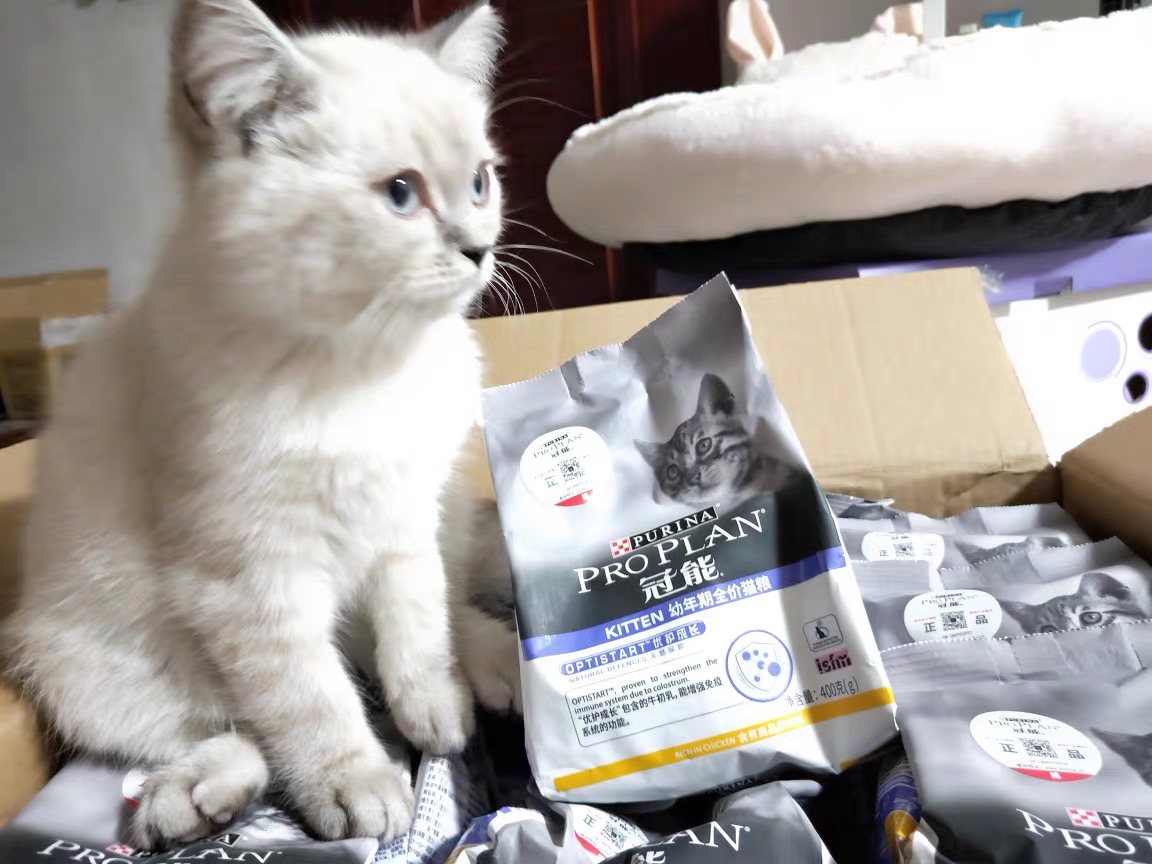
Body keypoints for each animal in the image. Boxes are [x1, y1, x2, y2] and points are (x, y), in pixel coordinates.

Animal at [4, 0, 519, 850]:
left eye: (479, 182)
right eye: (401, 194)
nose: (480, 250)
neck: (366, 360)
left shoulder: (403, 517)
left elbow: (417, 626)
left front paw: (437, 712)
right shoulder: (249, 576)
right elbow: (309, 698)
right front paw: (359, 789)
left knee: (431, 612)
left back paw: (495, 669)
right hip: (82, 663)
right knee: (218, 728)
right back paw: (192, 803)